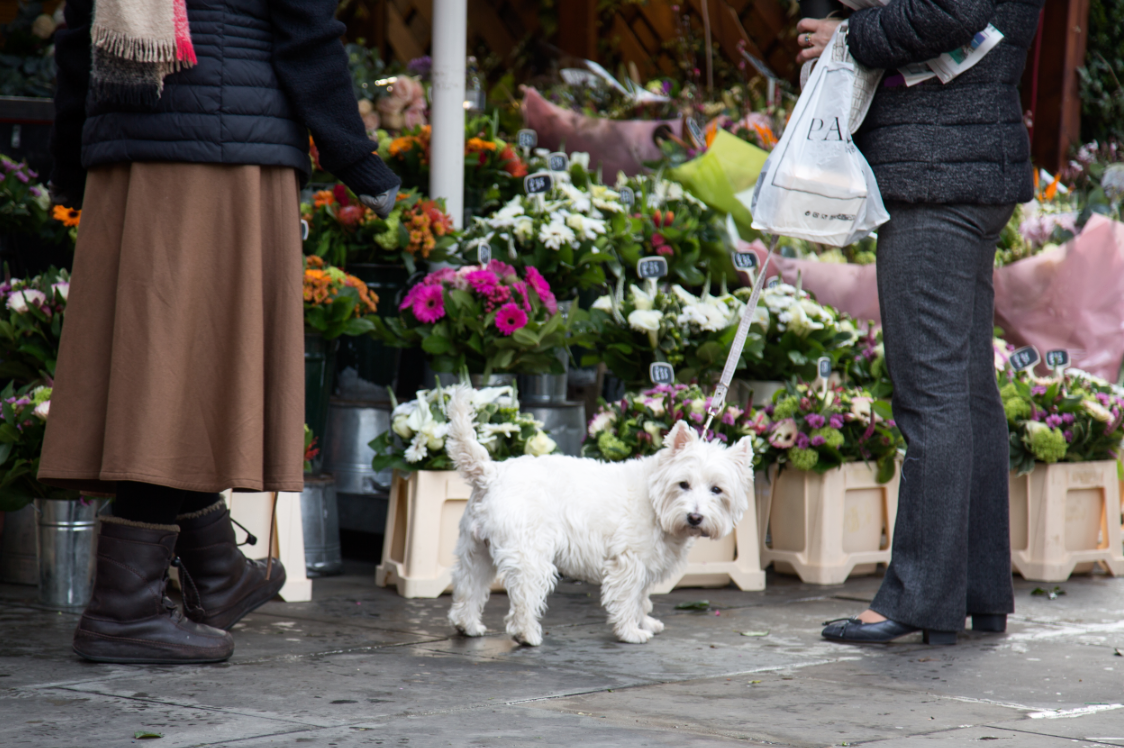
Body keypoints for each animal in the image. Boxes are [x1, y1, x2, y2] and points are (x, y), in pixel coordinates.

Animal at [442, 384, 750, 643]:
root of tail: (491, 473)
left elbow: (641, 598)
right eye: (683, 484)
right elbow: (627, 598)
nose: (695, 518)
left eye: (717, 489)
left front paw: (646, 623)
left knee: (468, 587)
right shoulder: (628, 561)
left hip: (476, 551)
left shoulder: (646, 564)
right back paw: (527, 635)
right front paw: (630, 632)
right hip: (529, 555)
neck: (655, 500)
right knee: (524, 596)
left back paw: (468, 626)